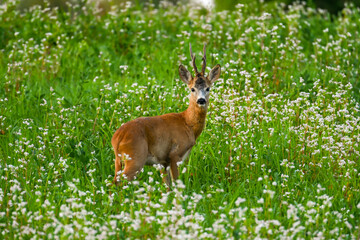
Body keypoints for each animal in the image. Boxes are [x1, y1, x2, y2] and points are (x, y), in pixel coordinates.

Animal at [111, 43, 221, 186]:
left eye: (208, 88)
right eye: (192, 89)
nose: (201, 100)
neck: (188, 123)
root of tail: (117, 138)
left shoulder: (163, 162)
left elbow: (168, 186)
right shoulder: (175, 154)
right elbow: (176, 184)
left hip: (118, 160)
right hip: (135, 157)